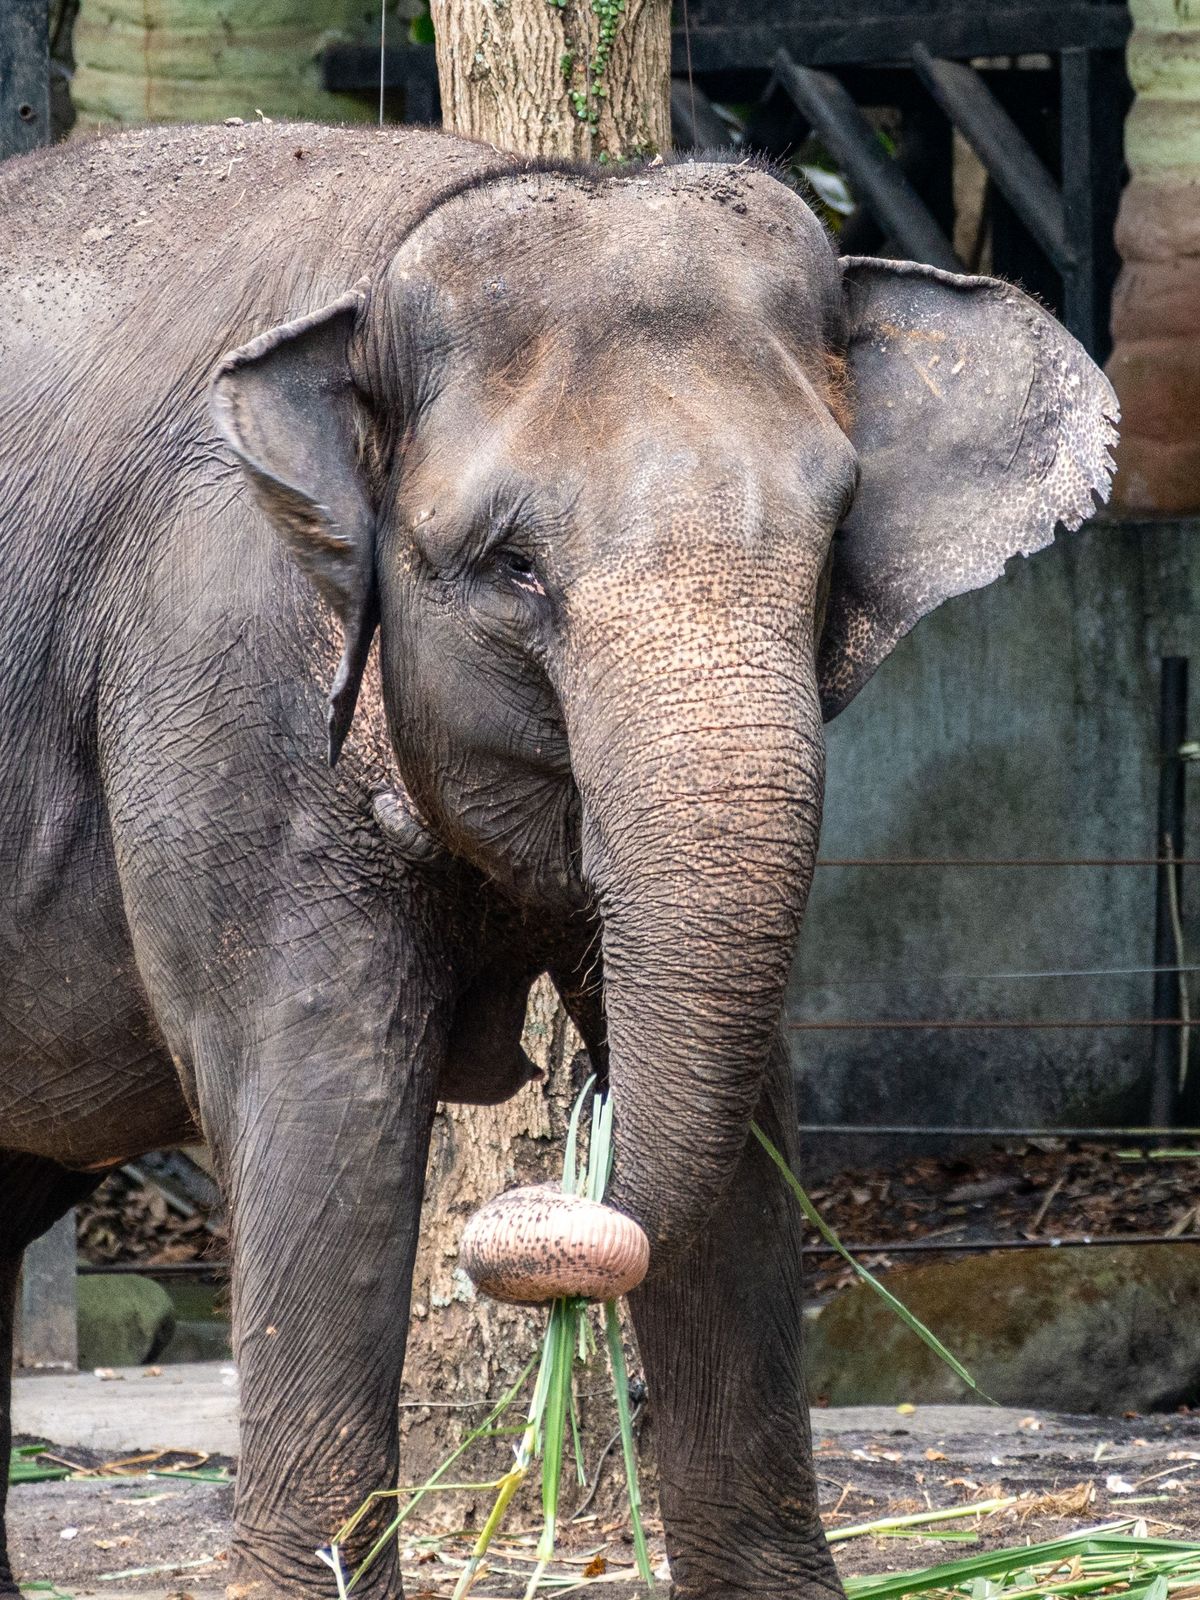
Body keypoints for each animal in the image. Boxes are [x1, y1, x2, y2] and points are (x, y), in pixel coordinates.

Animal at [0, 119, 1116, 1600]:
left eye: (832, 541)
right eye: (513, 566)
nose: (540, 1186)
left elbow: (746, 1132)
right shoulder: (211, 665)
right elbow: (322, 1100)